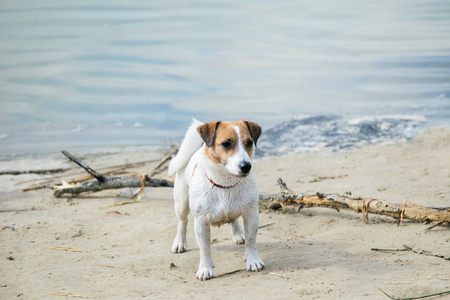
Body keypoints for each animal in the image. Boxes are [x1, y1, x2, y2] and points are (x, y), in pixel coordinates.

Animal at [170, 119, 268, 282]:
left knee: (233, 219)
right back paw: (179, 242)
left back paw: (238, 233)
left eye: (249, 142)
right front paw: (205, 269)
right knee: (182, 222)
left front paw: (253, 260)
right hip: (181, 203)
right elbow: (205, 249)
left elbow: (251, 241)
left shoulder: (251, 215)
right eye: (226, 143)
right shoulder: (201, 223)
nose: (246, 166)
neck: (226, 183)